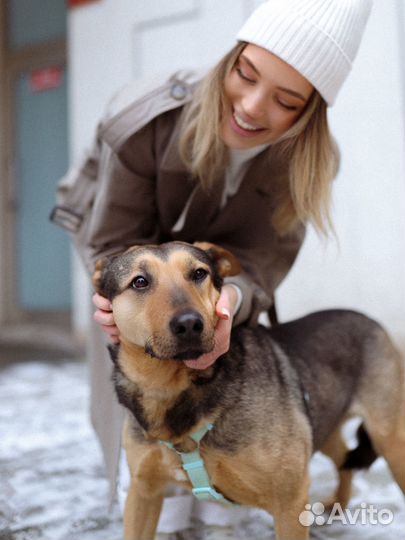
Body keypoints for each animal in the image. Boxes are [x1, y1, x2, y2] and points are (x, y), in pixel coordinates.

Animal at [92, 243, 404, 540]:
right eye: (140, 282)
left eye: (199, 274)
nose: (190, 324)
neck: (171, 390)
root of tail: (366, 318)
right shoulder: (143, 492)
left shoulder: (290, 502)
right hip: (323, 425)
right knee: (345, 458)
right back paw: (337, 504)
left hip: (388, 440)